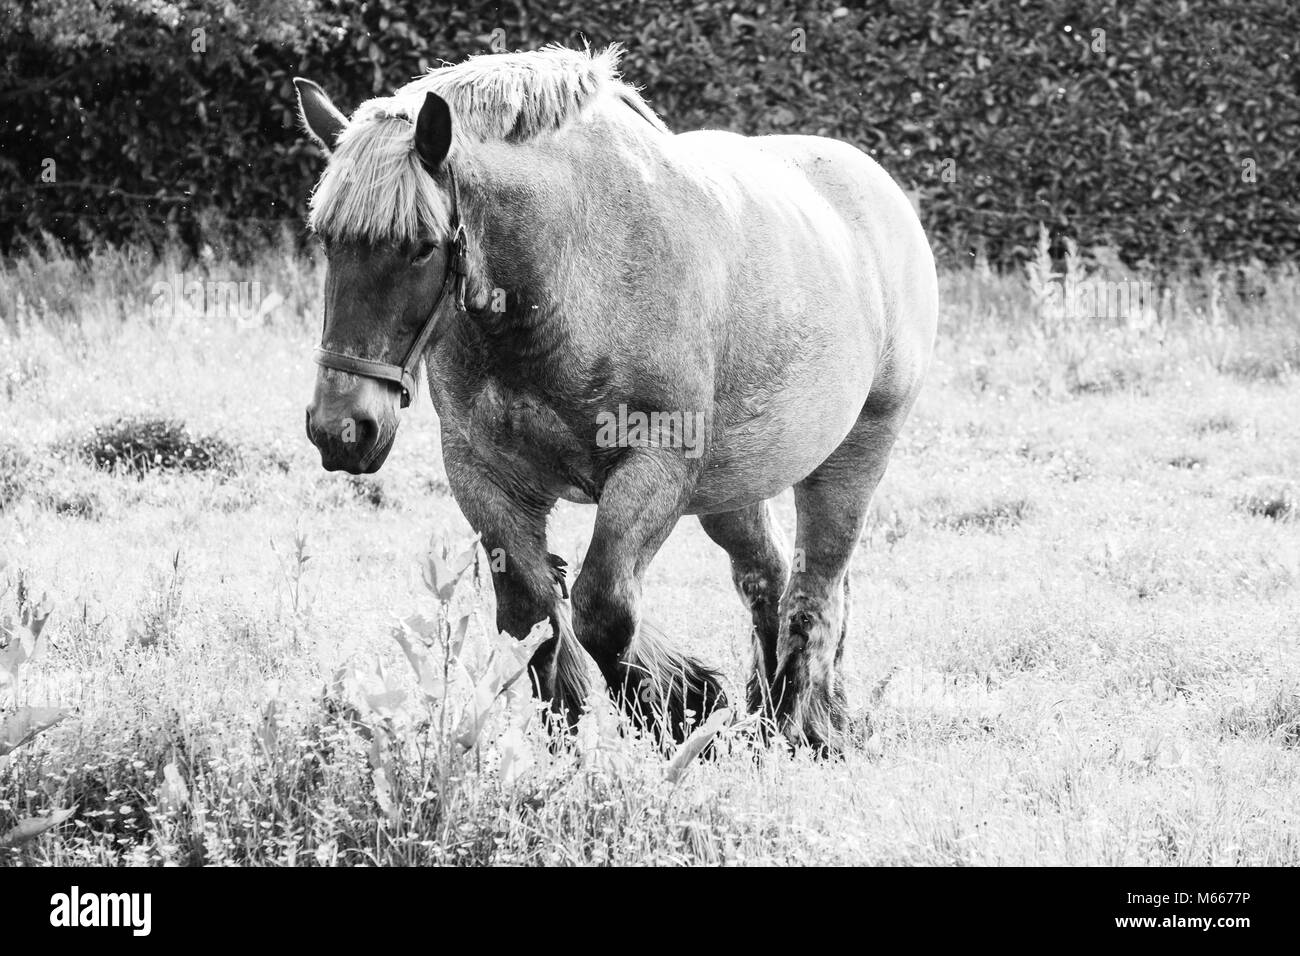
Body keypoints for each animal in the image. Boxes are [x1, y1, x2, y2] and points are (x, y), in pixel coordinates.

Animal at [297, 44, 935, 749]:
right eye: (328, 239)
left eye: (421, 248)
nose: (341, 428)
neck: (569, 272)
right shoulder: (482, 474)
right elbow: (535, 616)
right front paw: (574, 747)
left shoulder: (653, 469)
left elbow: (604, 611)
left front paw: (676, 711)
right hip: (732, 488)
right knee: (766, 577)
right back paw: (772, 718)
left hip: (853, 458)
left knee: (815, 590)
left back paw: (801, 728)